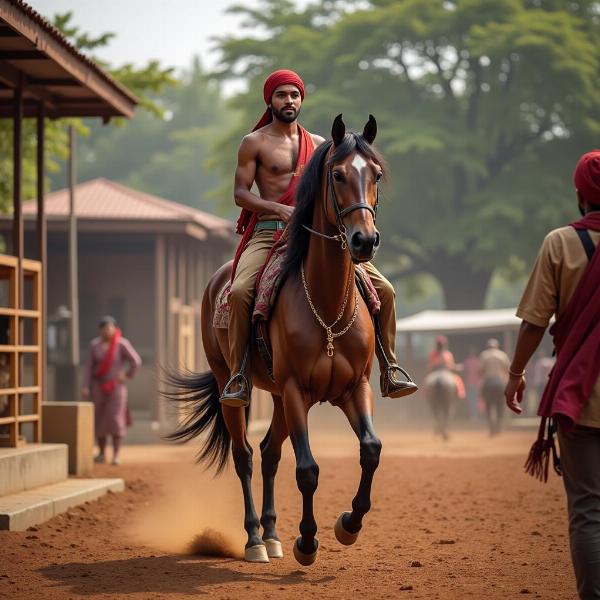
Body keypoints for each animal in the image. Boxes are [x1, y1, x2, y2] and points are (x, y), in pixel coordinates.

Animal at [166, 113, 386, 568]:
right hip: (235, 387)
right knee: (246, 457)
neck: (326, 304)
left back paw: (271, 535)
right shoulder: (296, 389)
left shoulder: (353, 388)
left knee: (269, 453)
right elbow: (307, 469)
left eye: (376, 174)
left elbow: (371, 449)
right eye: (337, 174)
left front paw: (349, 525)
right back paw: (254, 538)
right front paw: (308, 542)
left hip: (281, 399)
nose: (364, 240)